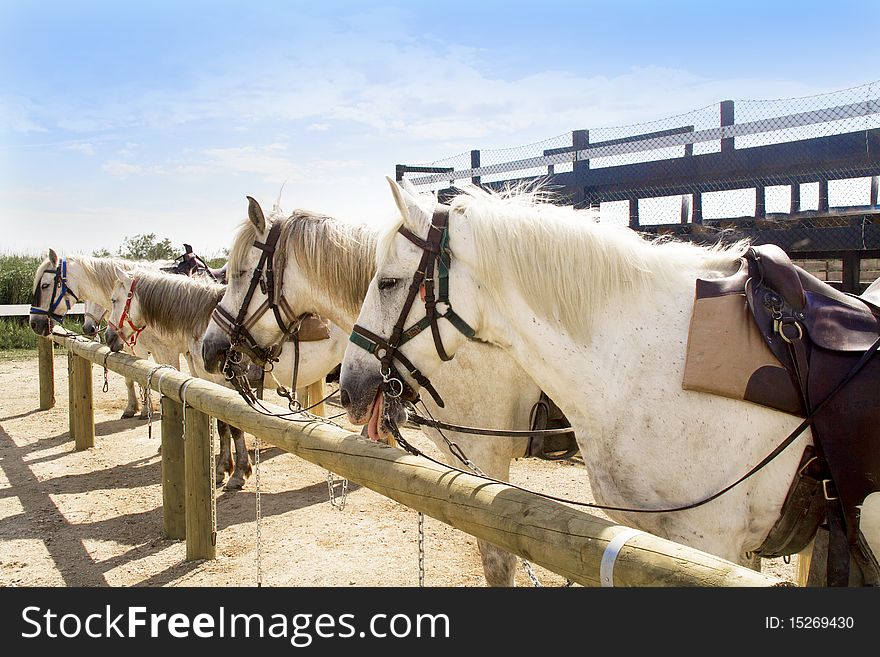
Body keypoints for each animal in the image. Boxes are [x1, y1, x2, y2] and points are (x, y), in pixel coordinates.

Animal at [105, 266, 346, 486]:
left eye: (114, 300)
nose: (108, 337)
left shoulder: (229, 384)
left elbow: (235, 428)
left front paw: (239, 473)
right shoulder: (211, 385)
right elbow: (222, 426)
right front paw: (222, 468)